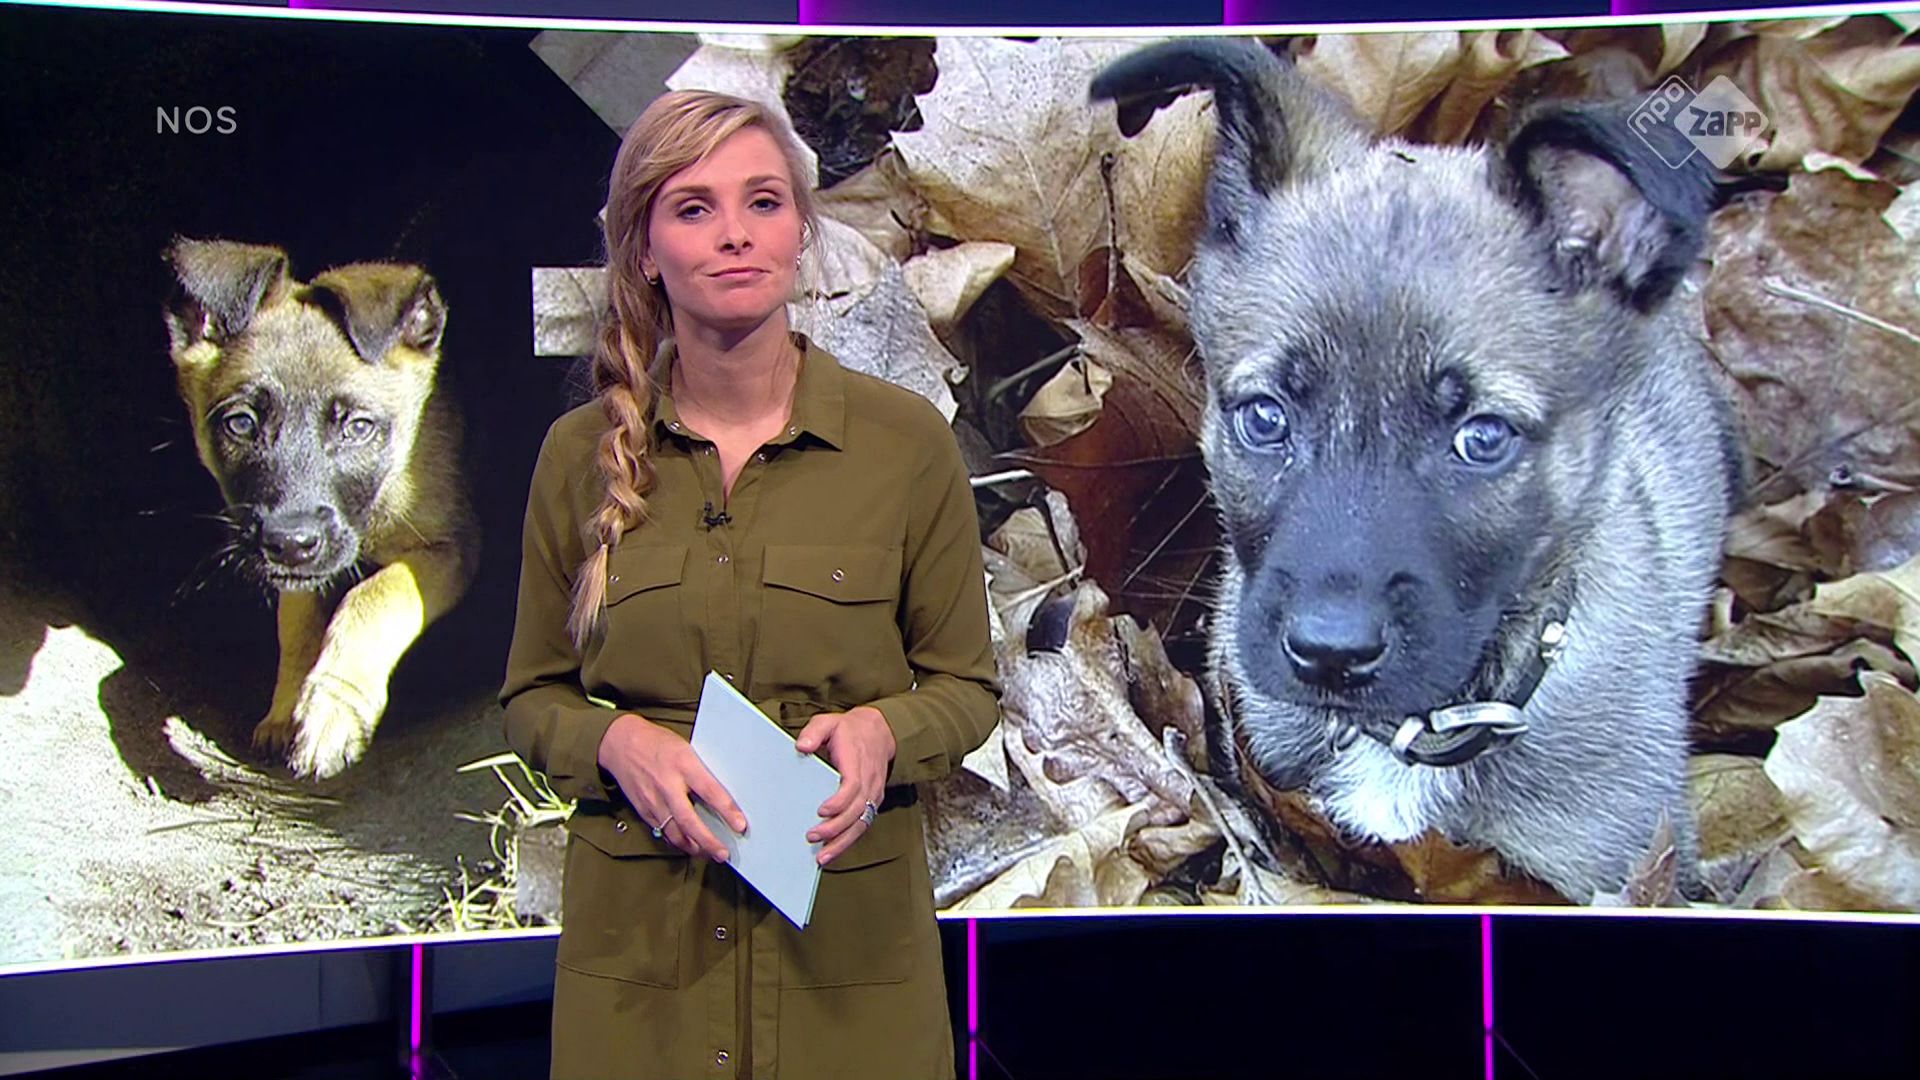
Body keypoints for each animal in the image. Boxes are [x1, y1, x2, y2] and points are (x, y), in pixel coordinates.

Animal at [162, 238, 479, 779]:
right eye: (240, 423)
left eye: (357, 427)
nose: (289, 543)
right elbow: (297, 619)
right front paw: (288, 707)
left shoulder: (451, 546)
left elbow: (376, 595)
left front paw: (333, 709)